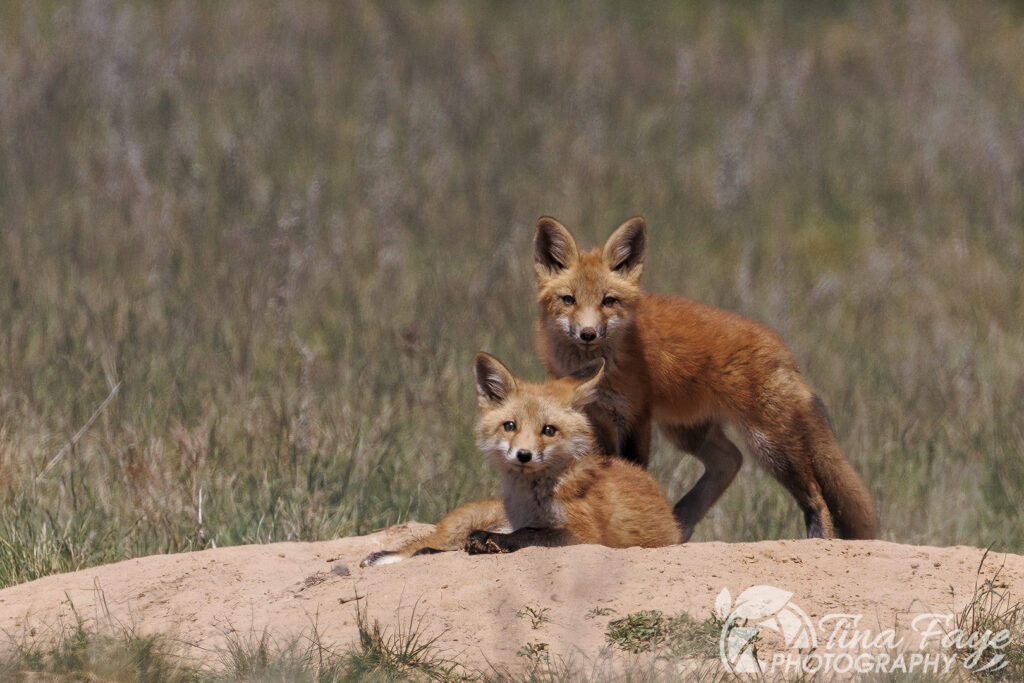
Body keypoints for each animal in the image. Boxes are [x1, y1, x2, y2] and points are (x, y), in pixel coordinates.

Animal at [360, 352, 681, 567]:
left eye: (549, 430)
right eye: (510, 426)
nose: (523, 455)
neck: (531, 500)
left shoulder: (588, 535)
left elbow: (530, 534)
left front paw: (496, 542)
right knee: (425, 547)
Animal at [532, 216, 877, 542]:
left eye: (608, 300)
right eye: (568, 299)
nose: (588, 334)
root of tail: (784, 350)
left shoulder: (633, 417)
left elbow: (632, 471)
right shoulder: (596, 419)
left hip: (771, 445)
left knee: (815, 495)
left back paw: (819, 540)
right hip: (687, 430)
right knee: (730, 460)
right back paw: (682, 520)